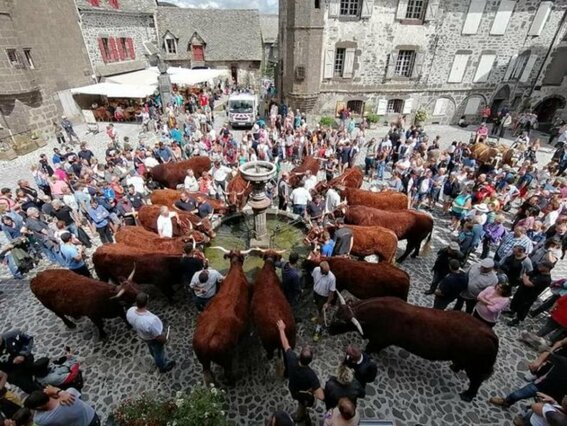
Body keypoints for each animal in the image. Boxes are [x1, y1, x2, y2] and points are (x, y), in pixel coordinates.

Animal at [330, 294, 500, 402]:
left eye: (342, 323)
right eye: (334, 315)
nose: (328, 329)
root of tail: (489, 333)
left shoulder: (379, 340)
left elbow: (369, 350)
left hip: (476, 367)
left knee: (476, 381)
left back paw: (468, 395)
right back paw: (455, 366)